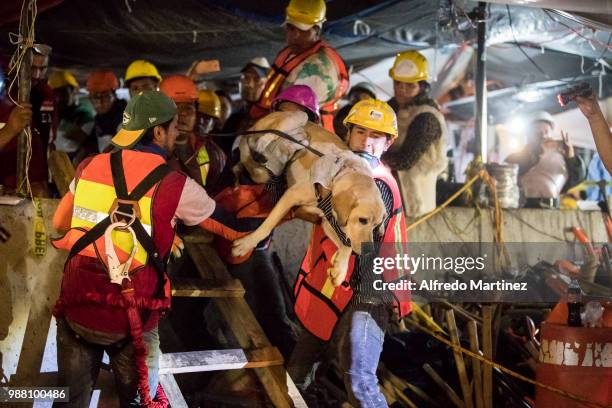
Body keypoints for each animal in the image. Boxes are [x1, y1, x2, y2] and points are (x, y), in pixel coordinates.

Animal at [232, 110, 384, 286]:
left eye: (376, 225)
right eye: (363, 220)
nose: (369, 252)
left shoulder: (325, 222)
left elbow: (348, 246)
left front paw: (340, 269)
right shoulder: (291, 195)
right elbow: (267, 226)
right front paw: (247, 243)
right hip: (298, 116)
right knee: (255, 139)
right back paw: (259, 150)